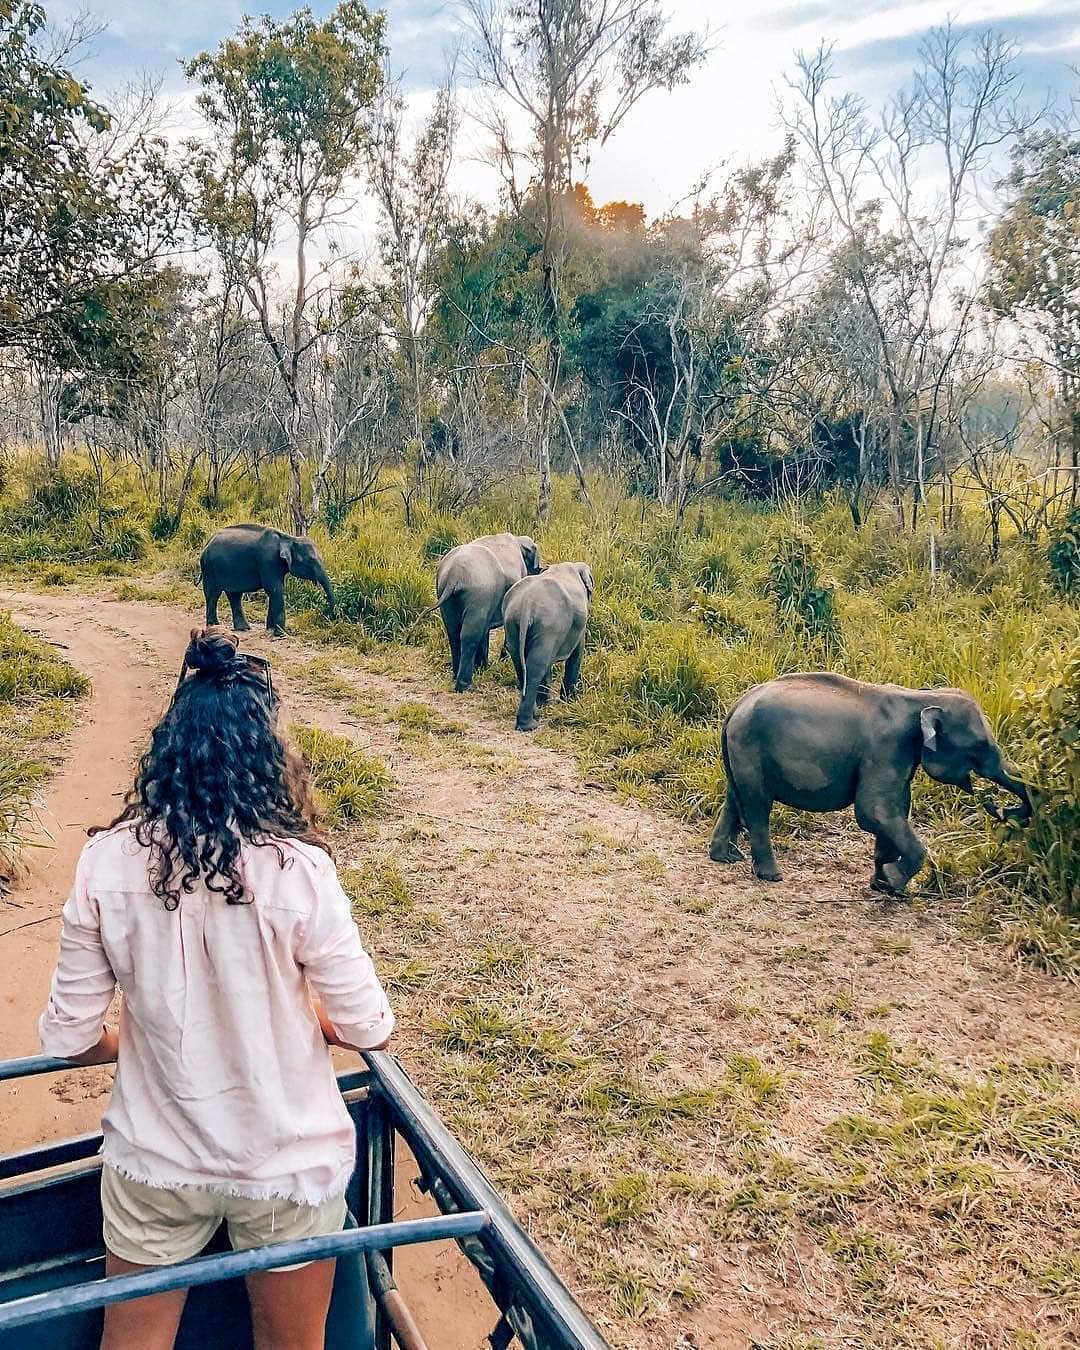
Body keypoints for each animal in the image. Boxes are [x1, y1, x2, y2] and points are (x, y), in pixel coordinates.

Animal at [198, 523, 333, 634]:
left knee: (234, 595)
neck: (288, 539)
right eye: (310, 561)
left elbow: (274, 591)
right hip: (209, 568)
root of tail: (207, 542)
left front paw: (270, 629)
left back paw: (243, 628)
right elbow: (275, 589)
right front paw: (280, 635)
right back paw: (214, 626)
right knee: (213, 594)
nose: (331, 615)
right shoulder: (268, 561)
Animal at [437, 529, 540, 691]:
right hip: (479, 594)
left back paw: (456, 676)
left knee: (453, 632)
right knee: (469, 635)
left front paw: (483, 668)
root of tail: (454, 576)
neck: (518, 539)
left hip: (447, 596)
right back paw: (464, 686)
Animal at [504, 564, 594, 734]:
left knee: (522, 664)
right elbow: (577, 654)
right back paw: (529, 725)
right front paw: (570, 702)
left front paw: (546, 703)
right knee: (536, 667)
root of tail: (527, 604)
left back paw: (536, 713)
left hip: (512, 625)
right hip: (548, 626)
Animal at [707, 675, 1031, 896]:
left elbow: (895, 809)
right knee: (758, 805)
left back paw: (726, 857)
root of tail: (735, 707)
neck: (922, 697)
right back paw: (772, 875)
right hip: (750, 748)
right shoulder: (886, 748)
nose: (992, 803)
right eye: (979, 746)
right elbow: (873, 811)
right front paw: (893, 879)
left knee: (735, 797)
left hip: (741, 752)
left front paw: (886, 887)